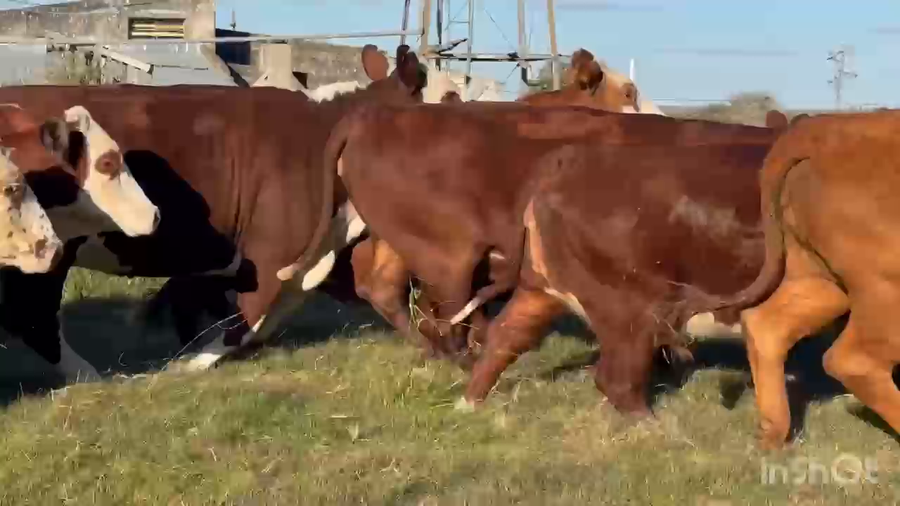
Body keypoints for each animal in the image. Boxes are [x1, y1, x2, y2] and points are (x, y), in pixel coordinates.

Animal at [0, 44, 427, 381]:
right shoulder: (271, 252)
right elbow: (245, 316)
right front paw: (190, 361)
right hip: (50, 251)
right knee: (34, 316)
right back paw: (89, 375)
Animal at [277, 104, 786, 375]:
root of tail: (378, 114)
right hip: (450, 254)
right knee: (445, 310)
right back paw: (465, 359)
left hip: (404, 242)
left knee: (387, 289)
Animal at [727, 110, 900, 448]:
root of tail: (823, 127)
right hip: (887, 290)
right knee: (853, 360)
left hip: (820, 281)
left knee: (765, 325)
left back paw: (773, 432)